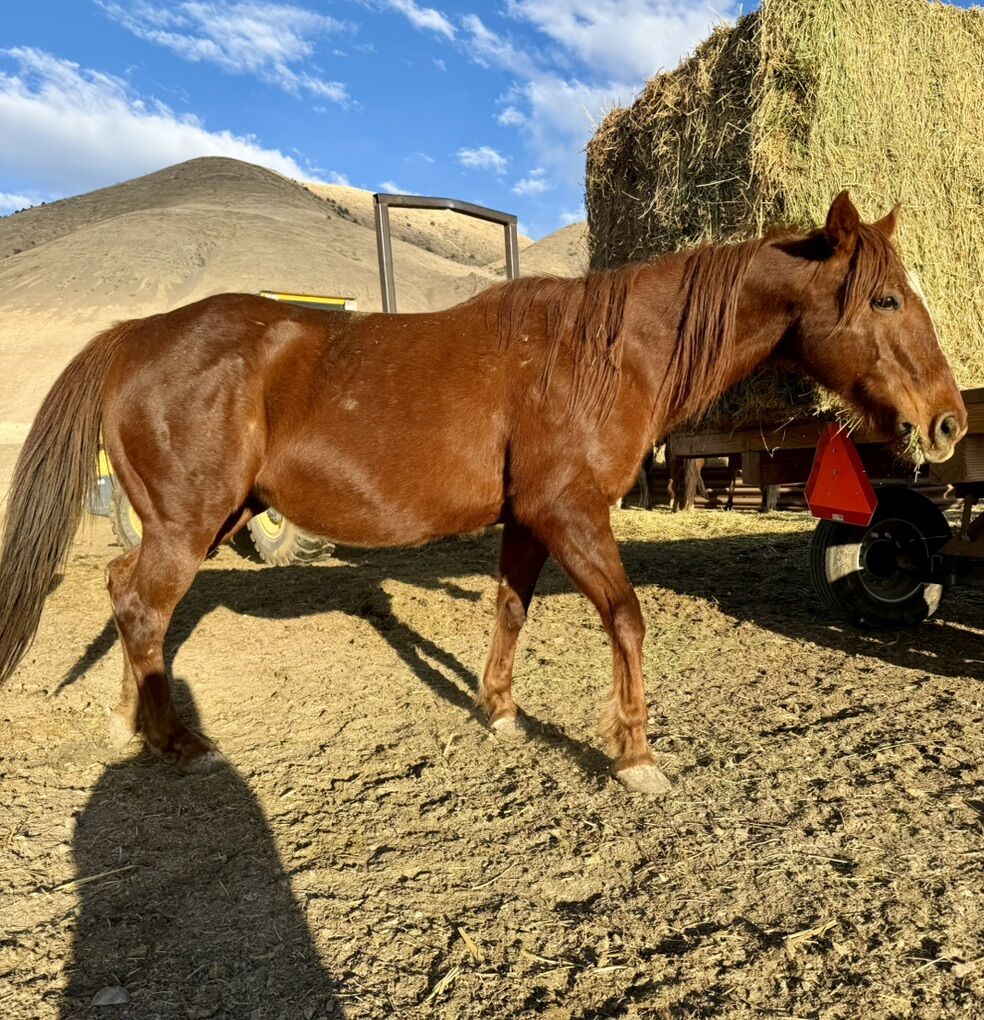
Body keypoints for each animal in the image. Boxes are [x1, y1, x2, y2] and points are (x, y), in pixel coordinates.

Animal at [0, 192, 967, 795]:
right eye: (886, 299)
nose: (950, 420)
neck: (601, 352)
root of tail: (136, 332)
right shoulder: (571, 513)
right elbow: (626, 620)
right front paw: (635, 754)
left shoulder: (530, 522)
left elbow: (509, 609)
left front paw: (499, 709)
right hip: (189, 522)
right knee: (142, 606)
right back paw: (176, 740)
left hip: (205, 517)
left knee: (127, 596)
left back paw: (132, 722)